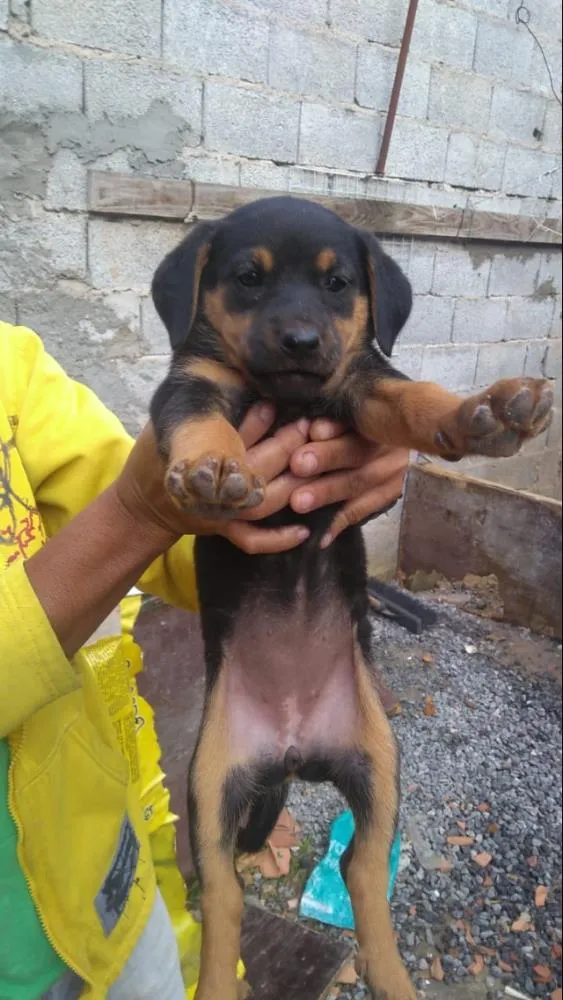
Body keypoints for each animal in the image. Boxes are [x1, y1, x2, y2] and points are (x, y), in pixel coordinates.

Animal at [149, 195, 552, 1000]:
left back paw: (392, 976)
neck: (287, 393)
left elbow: (410, 393)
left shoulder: (361, 382)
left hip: (380, 763)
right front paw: (214, 467)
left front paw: (478, 415)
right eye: (248, 278)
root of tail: (293, 750)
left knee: (361, 869)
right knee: (225, 894)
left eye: (338, 285)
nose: (302, 340)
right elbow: (200, 418)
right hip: (211, 782)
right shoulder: (190, 381)